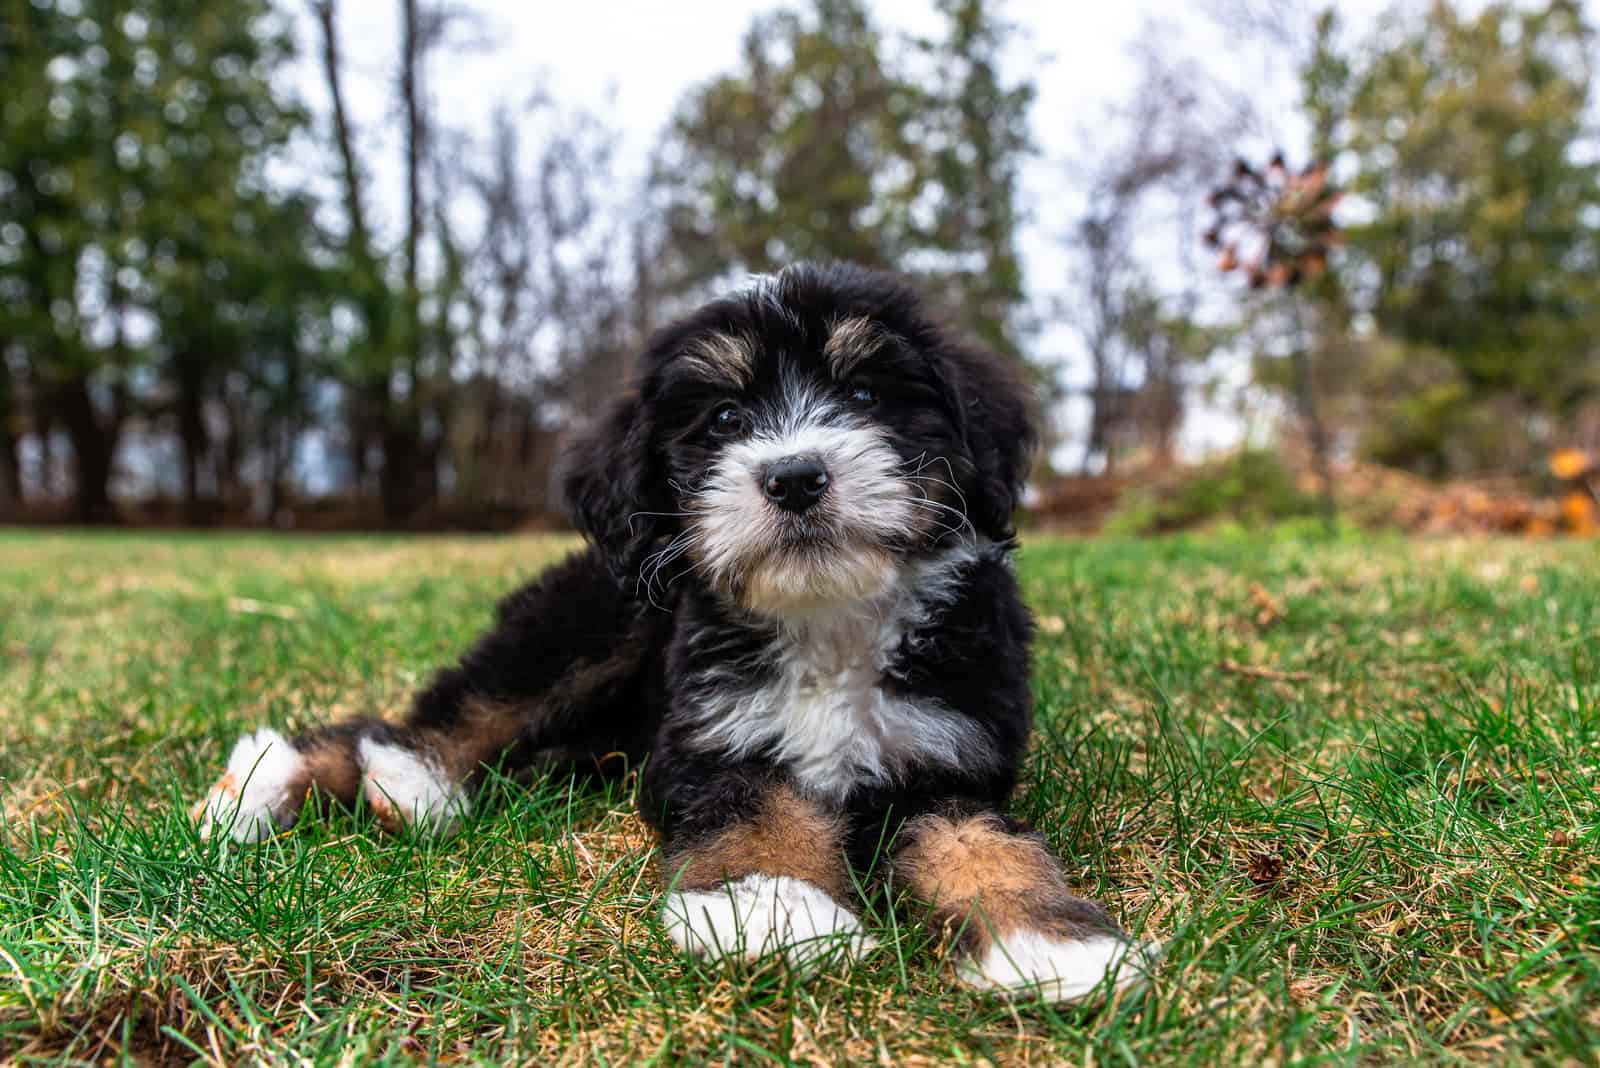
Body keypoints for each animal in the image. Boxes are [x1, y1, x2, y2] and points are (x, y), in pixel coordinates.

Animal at [193, 265, 1158, 1004]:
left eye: (866, 394)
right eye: (724, 419)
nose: (795, 476)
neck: (828, 619)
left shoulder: (950, 755)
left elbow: (984, 842)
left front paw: (1050, 942)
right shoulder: (708, 741)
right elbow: (756, 807)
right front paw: (772, 909)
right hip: (595, 621)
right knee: (441, 715)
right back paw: (310, 780)